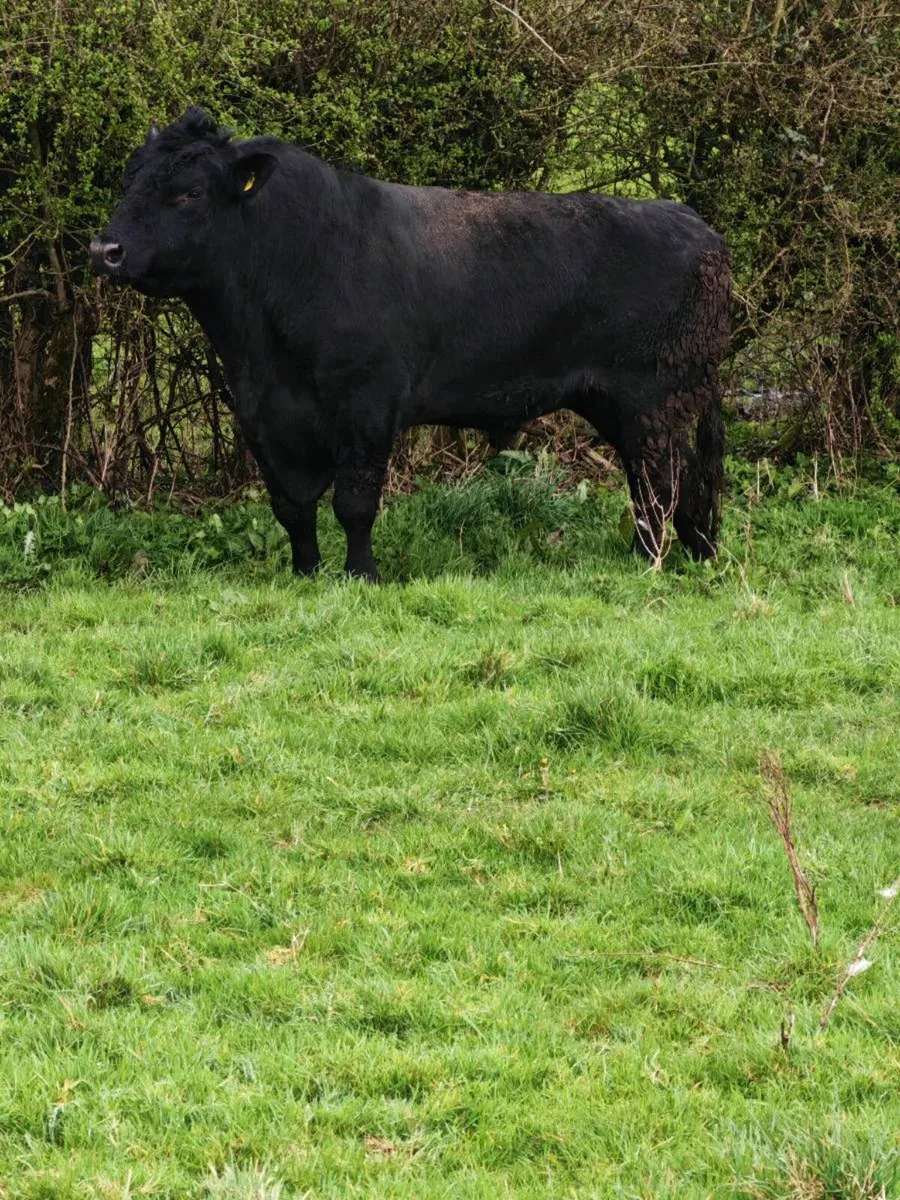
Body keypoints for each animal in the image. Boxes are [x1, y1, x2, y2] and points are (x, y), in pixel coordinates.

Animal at [90, 108, 731, 580]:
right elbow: (292, 506)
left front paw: (361, 575)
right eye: (127, 180)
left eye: (190, 192)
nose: (105, 250)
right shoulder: (260, 414)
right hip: (623, 404)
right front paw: (305, 572)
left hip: (653, 398)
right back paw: (692, 554)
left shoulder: (367, 402)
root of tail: (699, 227)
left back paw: (648, 562)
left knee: (662, 480)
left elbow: (354, 501)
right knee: (670, 481)